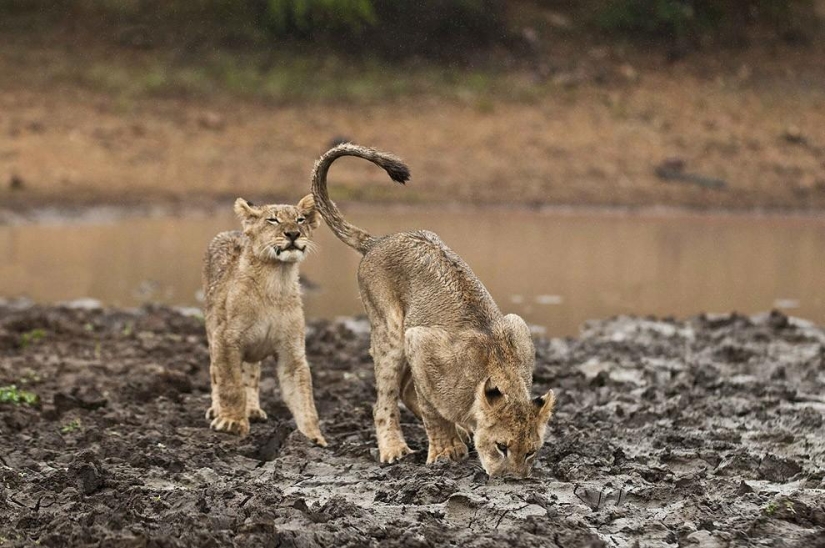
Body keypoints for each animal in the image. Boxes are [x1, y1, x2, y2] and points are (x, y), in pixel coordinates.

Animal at [202, 195, 327, 446]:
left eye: (300, 219)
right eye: (273, 220)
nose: (293, 234)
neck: (276, 281)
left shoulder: (292, 353)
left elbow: (304, 398)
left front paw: (313, 438)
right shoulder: (225, 339)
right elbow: (230, 384)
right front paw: (231, 422)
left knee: (250, 376)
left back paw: (252, 410)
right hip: (212, 332)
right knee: (216, 373)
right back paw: (218, 409)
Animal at [311, 143, 556, 477]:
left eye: (531, 452)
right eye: (501, 447)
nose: (513, 480)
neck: (500, 370)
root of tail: (378, 241)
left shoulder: (518, 328)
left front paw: (459, 437)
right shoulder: (420, 341)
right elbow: (431, 411)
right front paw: (446, 450)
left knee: (406, 392)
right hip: (391, 335)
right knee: (385, 402)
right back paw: (395, 450)